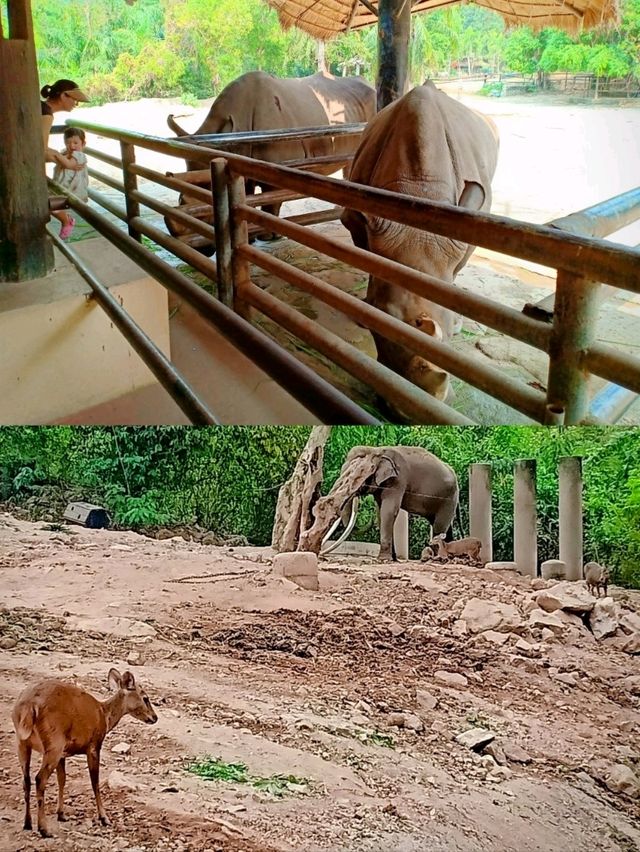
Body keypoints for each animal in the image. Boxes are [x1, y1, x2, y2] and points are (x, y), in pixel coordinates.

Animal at [11, 668, 157, 836]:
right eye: (145, 698)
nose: (155, 717)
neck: (104, 716)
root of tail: (29, 707)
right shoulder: (93, 745)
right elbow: (95, 782)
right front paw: (104, 818)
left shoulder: (64, 753)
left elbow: (62, 779)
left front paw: (61, 814)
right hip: (53, 742)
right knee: (39, 778)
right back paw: (44, 829)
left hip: (23, 743)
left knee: (26, 780)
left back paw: (27, 823)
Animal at [340, 81, 500, 414]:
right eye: (382, 315)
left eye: (449, 327)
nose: (405, 413)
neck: (419, 189)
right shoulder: (359, 220)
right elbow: (368, 261)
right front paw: (363, 311)